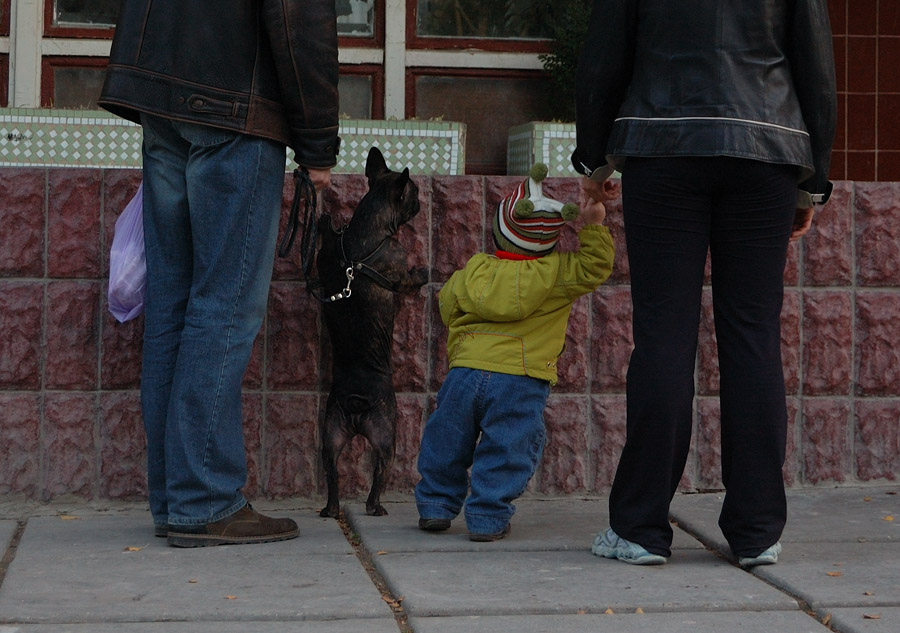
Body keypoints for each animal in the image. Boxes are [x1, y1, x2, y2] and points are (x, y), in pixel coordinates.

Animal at [316, 148, 428, 520]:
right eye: (414, 193)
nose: (422, 200)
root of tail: (356, 402)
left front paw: (325, 222)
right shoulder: (400, 268)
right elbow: (409, 279)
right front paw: (424, 273)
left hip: (331, 434)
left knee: (332, 474)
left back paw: (331, 509)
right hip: (386, 434)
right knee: (380, 474)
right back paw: (375, 507)